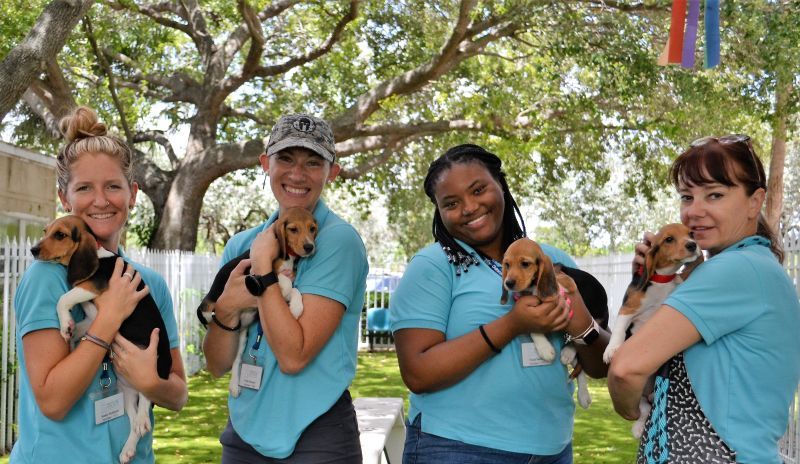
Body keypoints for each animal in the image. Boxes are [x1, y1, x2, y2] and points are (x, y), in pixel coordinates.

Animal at [30, 215, 172, 464]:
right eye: (45, 232)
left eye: (60, 235)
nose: (33, 250)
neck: (97, 253)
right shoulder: (92, 317)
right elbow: (79, 327)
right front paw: (70, 332)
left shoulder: (91, 287)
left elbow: (63, 298)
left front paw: (65, 323)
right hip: (126, 392)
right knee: (134, 423)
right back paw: (128, 449)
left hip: (152, 368)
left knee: (145, 402)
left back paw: (142, 420)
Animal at [195, 207, 318, 396]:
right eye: (293, 229)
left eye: (312, 228)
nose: (309, 247)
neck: (288, 256)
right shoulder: (254, 272)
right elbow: (283, 281)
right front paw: (286, 290)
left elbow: (295, 289)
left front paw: (296, 307)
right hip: (207, 308)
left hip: (242, 336)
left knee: (236, 360)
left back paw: (234, 385)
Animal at [500, 237, 592, 408]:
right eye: (507, 265)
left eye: (525, 263)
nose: (508, 283)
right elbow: (533, 329)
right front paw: (545, 349)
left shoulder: (565, 279)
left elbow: (563, 283)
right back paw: (583, 394)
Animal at [604, 223, 704, 436]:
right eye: (669, 239)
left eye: (691, 233)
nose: (692, 245)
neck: (663, 279)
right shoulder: (628, 309)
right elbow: (619, 330)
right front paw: (612, 350)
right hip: (642, 398)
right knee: (643, 410)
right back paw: (638, 428)